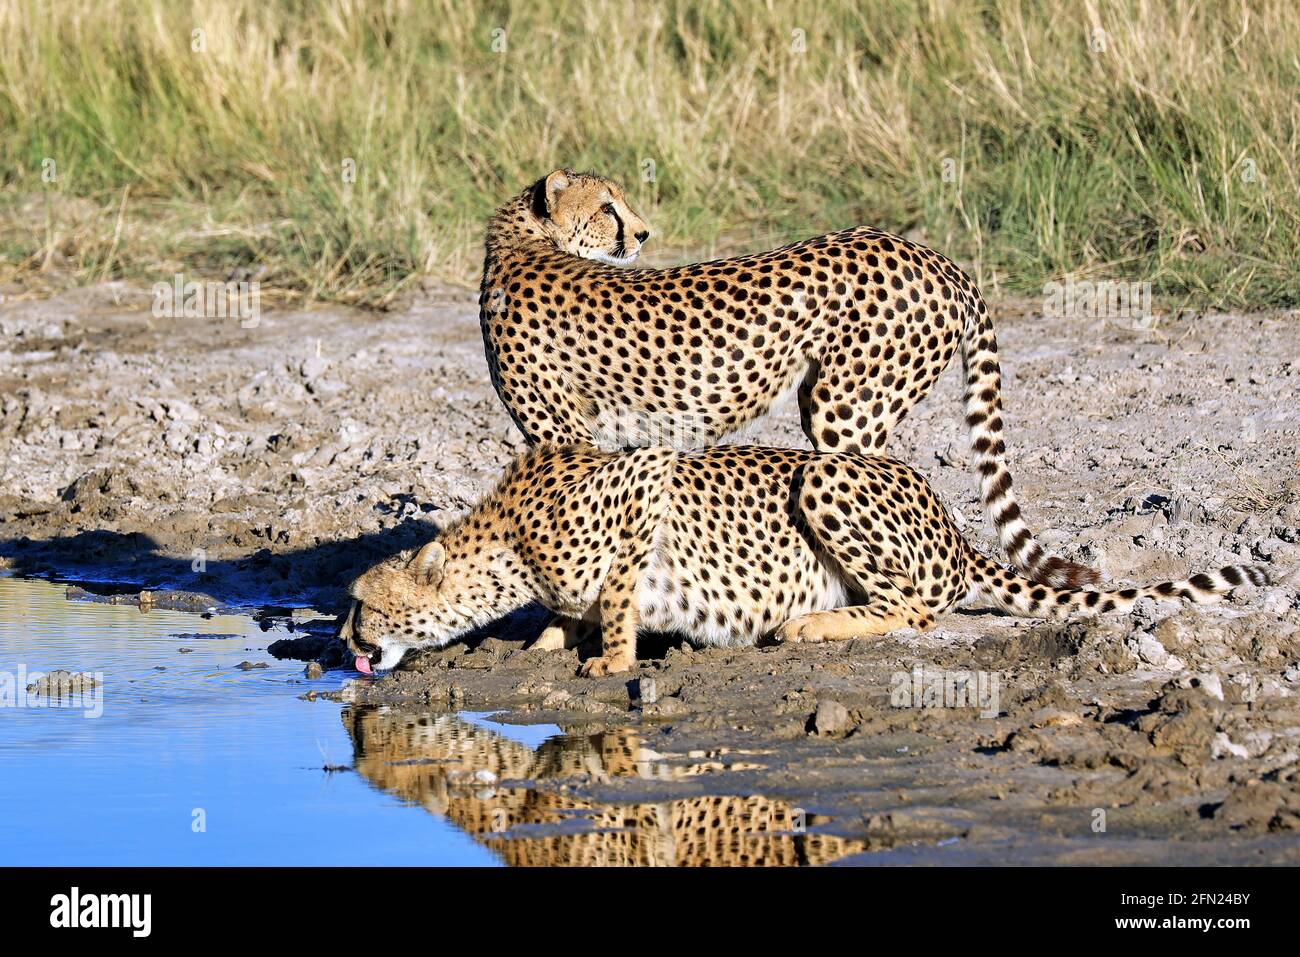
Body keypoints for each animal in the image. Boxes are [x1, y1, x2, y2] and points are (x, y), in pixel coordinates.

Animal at [340, 444, 1263, 676]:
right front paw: (543, 644)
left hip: (823, 474)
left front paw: (609, 658)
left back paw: (809, 623)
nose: (343, 641)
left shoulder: (645, 483)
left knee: (914, 608)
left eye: (363, 602)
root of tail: (952, 519)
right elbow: (572, 610)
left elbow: (617, 597)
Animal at [483, 172, 1092, 590]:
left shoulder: (564, 438)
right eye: (607, 208)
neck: (523, 241)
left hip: (844, 413)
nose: (642, 234)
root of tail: (933, 255)